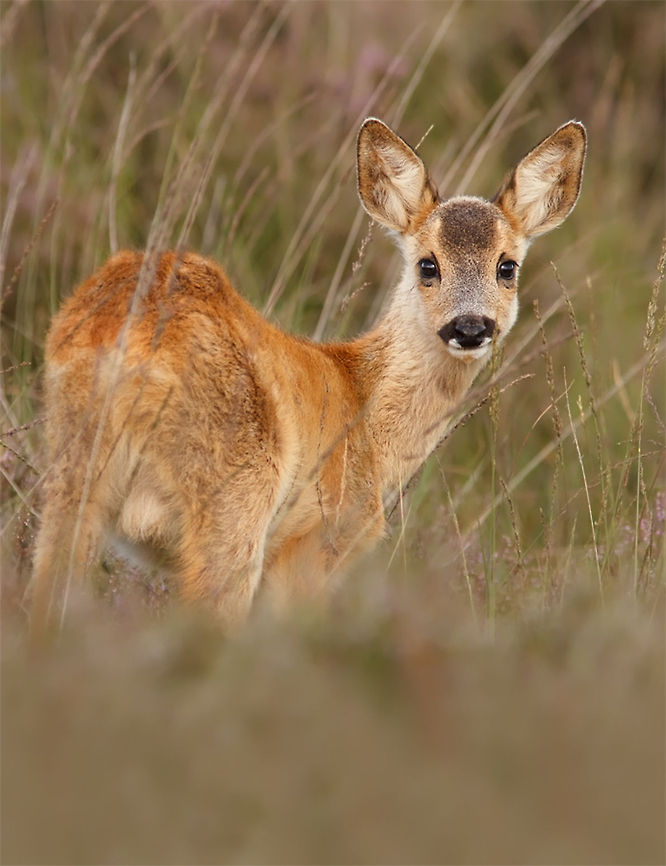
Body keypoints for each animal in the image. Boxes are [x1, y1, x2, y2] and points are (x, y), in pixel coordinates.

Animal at [30, 117, 586, 636]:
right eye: (428, 265)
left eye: (507, 267)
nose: (470, 327)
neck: (368, 415)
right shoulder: (315, 544)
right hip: (234, 500)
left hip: (72, 480)